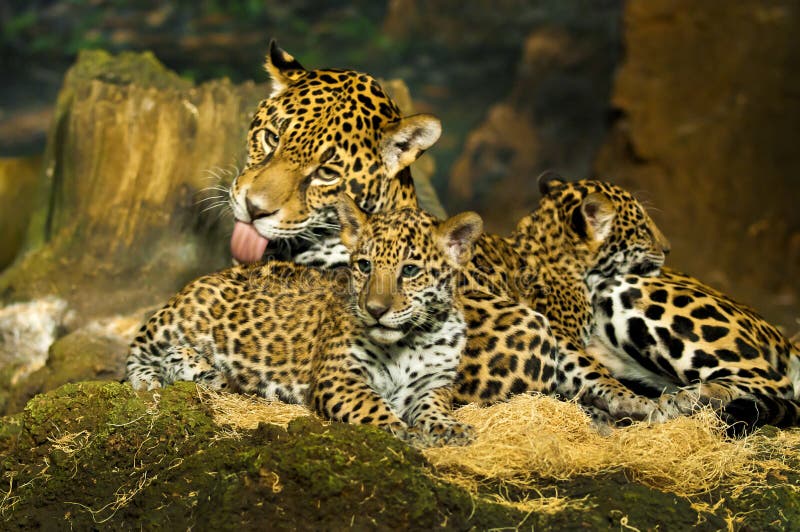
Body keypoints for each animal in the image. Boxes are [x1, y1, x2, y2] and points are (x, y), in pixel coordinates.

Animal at [127, 196, 485, 446]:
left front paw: (449, 428)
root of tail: (223, 270)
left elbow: (435, 408)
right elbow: (372, 406)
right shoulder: (339, 378)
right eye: (365, 265)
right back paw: (152, 376)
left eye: (409, 270)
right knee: (138, 348)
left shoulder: (434, 384)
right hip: (182, 315)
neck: (410, 340)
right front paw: (403, 431)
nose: (374, 310)